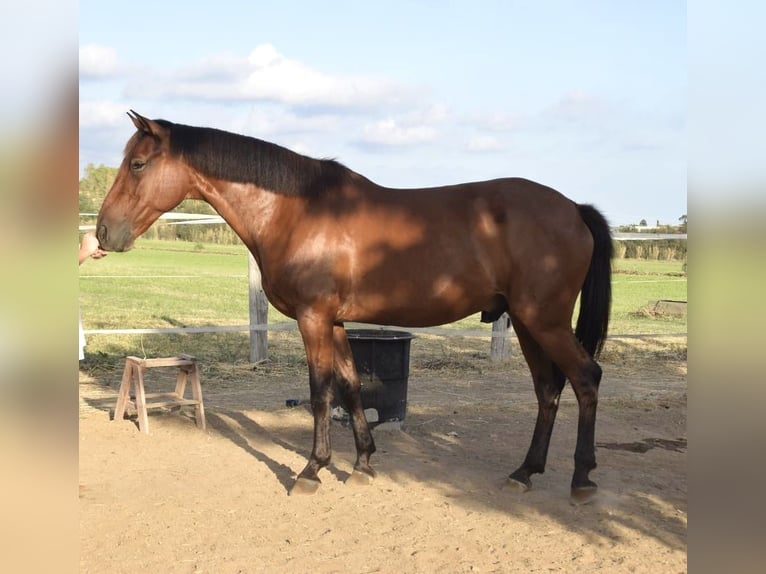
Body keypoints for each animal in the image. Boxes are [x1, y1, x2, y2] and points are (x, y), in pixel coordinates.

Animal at [97, 111, 612, 504]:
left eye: (138, 163)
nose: (103, 232)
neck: (296, 212)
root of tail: (573, 208)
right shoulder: (337, 321)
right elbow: (350, 386)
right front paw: (363, 462)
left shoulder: (313, 319)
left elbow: (320, 392)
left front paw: (312, 469)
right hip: (527, 323)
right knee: (548, 390)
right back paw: (525, 472)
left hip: (544, 321)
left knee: (585, 378)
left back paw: (582, 479)